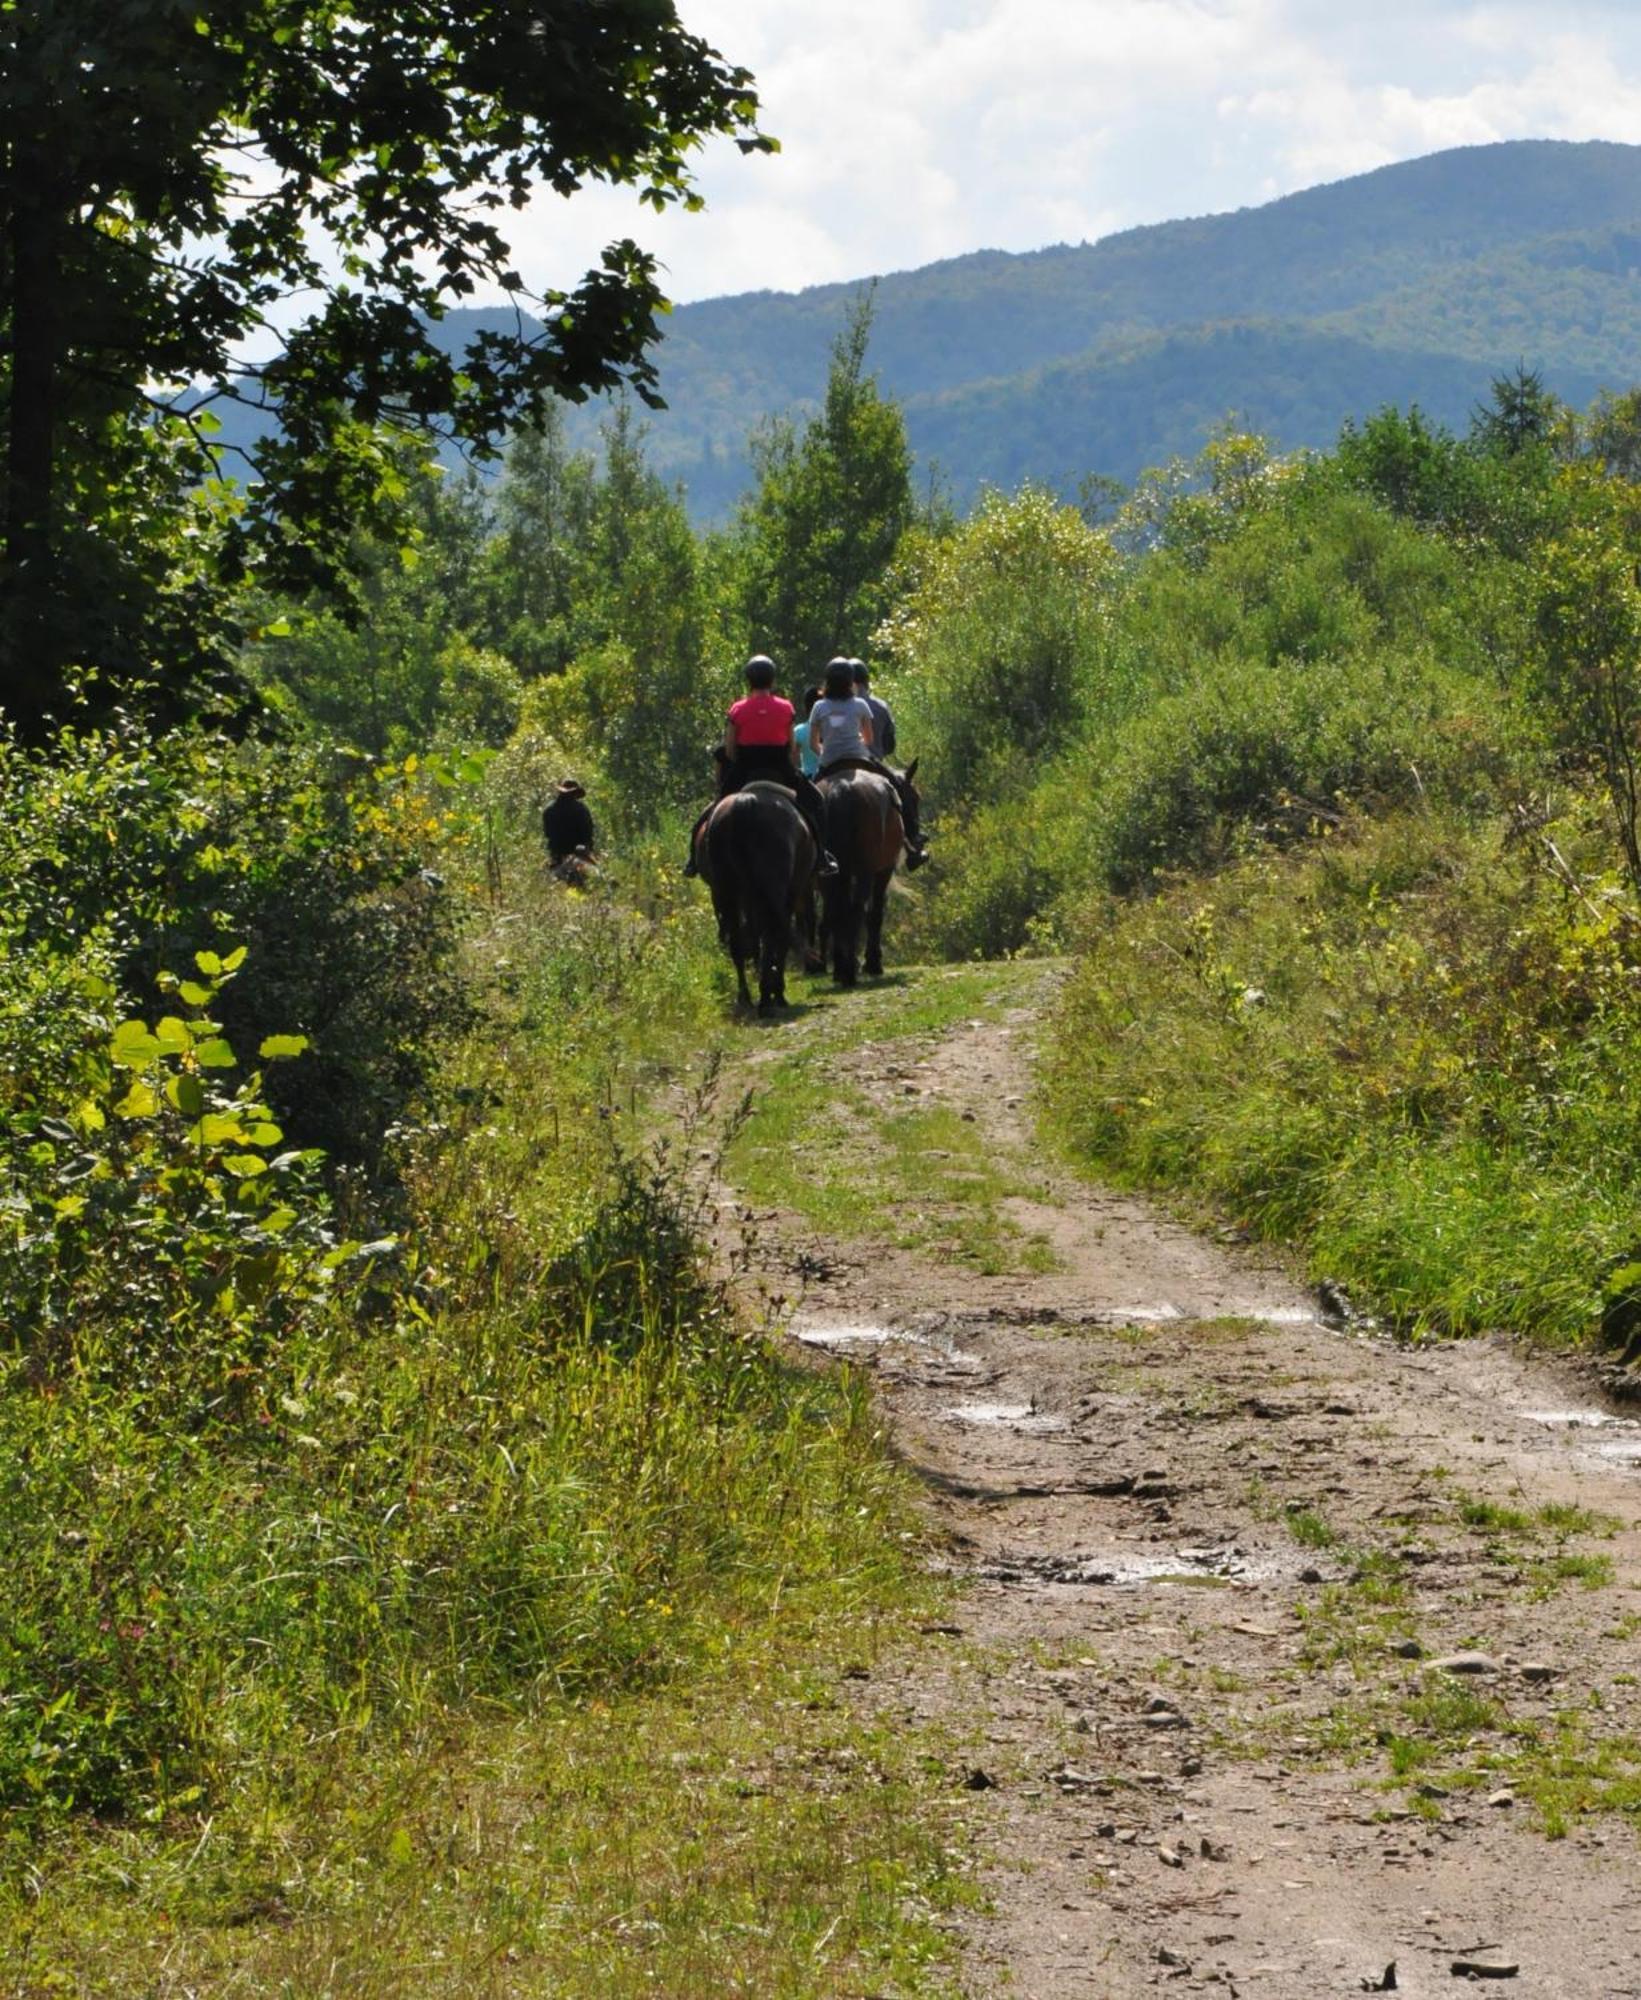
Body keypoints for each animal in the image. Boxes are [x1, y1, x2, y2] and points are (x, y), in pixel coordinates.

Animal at [696, 772, 816, 1008]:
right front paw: (776, 990)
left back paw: (746, 995)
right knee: (771, 933)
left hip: (729, 891)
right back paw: (767, 995)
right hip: (772, 891)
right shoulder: (790, 894)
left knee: (738, 939)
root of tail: (746, 802)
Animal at [812, 752, 916, 988]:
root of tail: (840, 790)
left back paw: (839, 968)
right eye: (915, 798)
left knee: (835, 913)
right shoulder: (883, 871)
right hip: (864, 871)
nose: (918, 835)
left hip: (830, 876)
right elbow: (875, 912)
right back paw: (849, 970)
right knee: (856, 910)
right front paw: (873, 962)